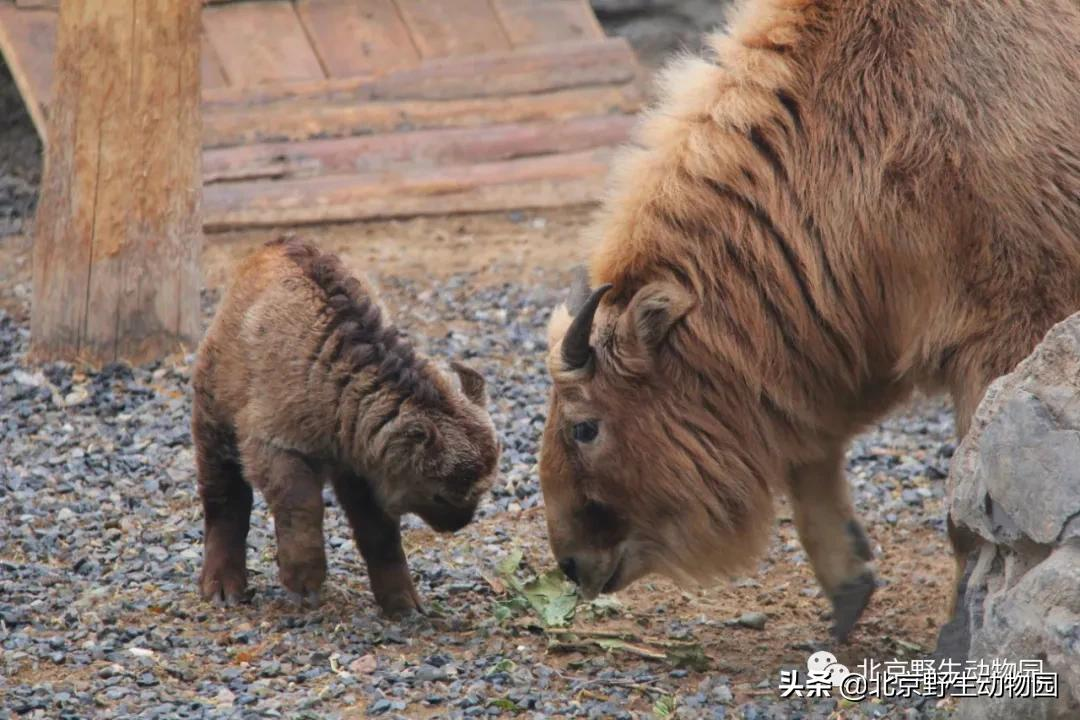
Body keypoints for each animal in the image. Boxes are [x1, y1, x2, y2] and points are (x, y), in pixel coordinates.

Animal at [193, 239, 496, 617]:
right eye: (440, 494)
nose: (460, 523)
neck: (337, 386)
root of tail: (273, 245)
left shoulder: (364, 462)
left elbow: (378, 531)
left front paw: (402, 601)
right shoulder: (274, 442)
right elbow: (300, 505)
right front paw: (304, 583)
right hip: (214, 407)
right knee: (224, 494)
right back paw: (223, 584)